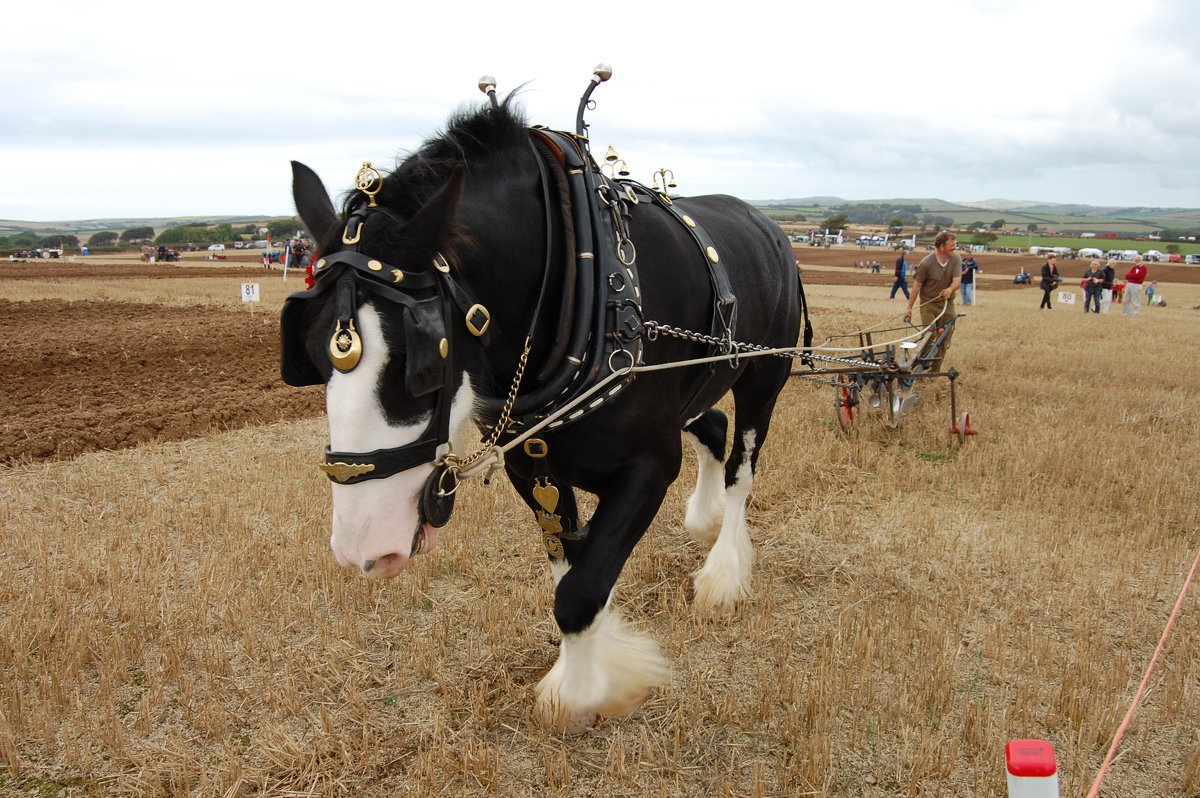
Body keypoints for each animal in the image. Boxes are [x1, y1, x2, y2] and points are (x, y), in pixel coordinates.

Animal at [282, 91, 806, 729]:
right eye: (308, 353)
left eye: (421, 363)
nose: (361, 549)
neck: (582, 277)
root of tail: (767, 224)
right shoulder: (533, 466)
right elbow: (572, 569)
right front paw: (593, 664)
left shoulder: (650, 466)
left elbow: (578, 592)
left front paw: (586, 694)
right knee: (713, 422)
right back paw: (702, 519)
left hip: (765, 376)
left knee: (741, 469)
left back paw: (723, 575)